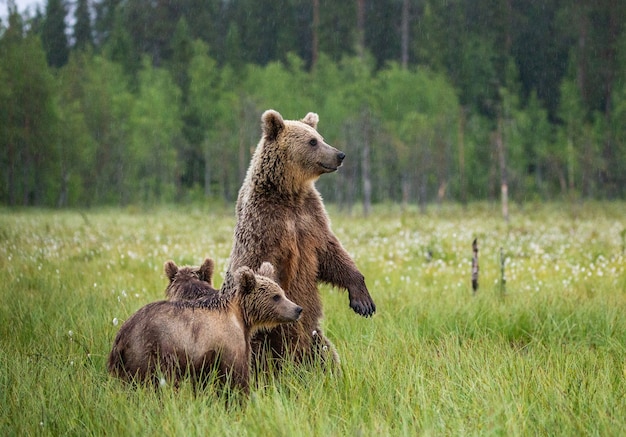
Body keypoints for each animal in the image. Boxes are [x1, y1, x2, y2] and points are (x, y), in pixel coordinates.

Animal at [229, 108, 376, 364]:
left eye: (320, 136)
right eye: (312, 141)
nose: (340, 155)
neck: (289, 194)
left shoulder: (310, 220)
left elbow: (332, 253)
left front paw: (363, 301)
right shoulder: (265, 224)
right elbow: (262, 264)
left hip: (314, 336)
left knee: (325, 353)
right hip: (259, 340)